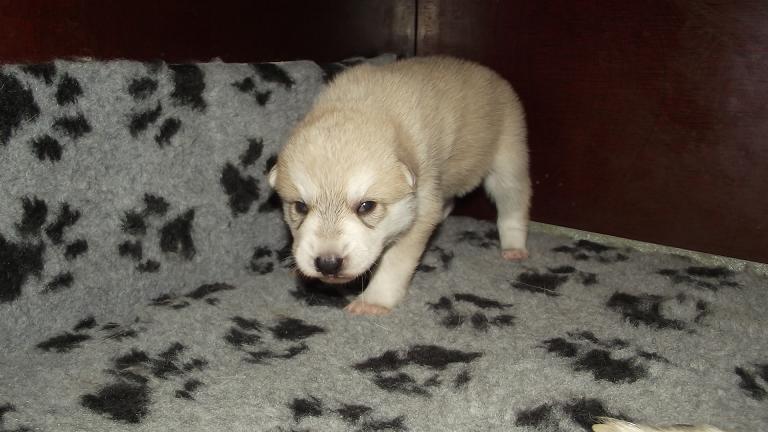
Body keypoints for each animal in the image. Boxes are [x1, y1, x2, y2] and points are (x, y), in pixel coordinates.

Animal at [268, 55, 528, 316]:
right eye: (300, 207)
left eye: (367, 206)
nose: (328, 264)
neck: (362, 106)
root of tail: (487, 72)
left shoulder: (418, 211)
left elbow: (394, 263)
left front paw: (373, 301)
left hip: (508, 155)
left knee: (513, 202)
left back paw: (514, 246)